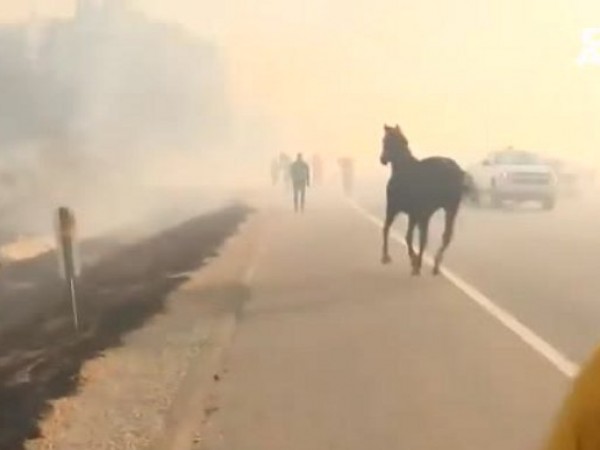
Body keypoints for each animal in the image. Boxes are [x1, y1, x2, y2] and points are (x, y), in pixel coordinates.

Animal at [382, 125, 466, 276]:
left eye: (386, 140)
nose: (383, 159)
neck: (404, 170)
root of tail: (458, 171)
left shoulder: (398, 208)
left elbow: (398, 232)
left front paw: (409, 260)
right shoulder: (412, 213)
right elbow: (407, 236)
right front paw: (413, 260)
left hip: (437, 210)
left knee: (429, 237)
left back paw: (421, 265)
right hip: (448, 208)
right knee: (444, 236)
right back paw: (435, 265)